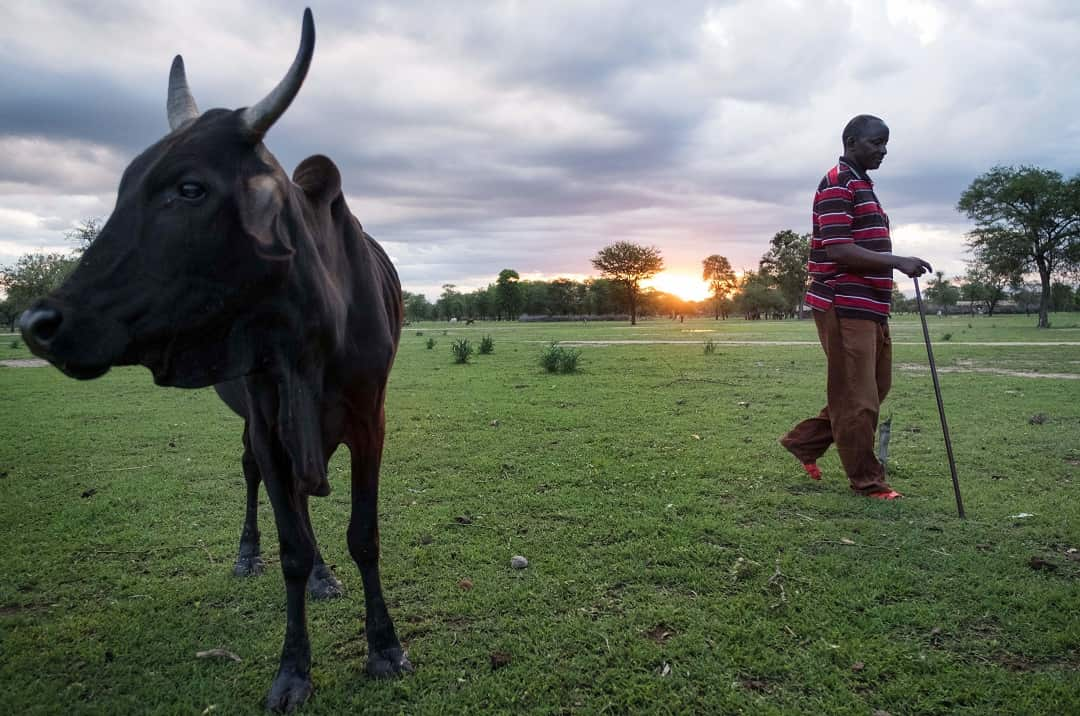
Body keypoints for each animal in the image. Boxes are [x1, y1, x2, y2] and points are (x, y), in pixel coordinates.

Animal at [17, 8, 412, 712]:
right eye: (121, 187)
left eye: (189, 187)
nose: (39, 323)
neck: (311, 331)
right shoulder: (269, 422)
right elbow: (291, 543)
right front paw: (293, 669)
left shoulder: (372, 419)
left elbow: (363, 536)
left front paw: (385, 646)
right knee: (260, 483)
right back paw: (254, 556)